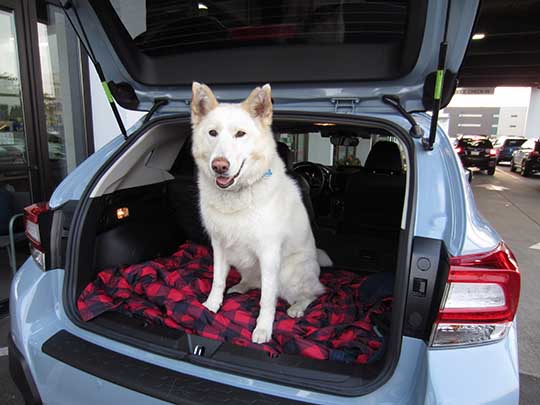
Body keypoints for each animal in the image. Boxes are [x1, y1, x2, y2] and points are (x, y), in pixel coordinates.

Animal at [190, 83, 326, 342]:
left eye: (240, 134)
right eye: (212, 133)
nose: (219, 166)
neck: (235, 195)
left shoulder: (269, 253)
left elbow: (267, 300)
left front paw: (263, 329)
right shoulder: (219, 245)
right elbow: (217, 280)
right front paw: (211, 306)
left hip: (288, 272)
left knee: (313, 293)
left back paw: (297, 307)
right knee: (253, 282)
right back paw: (240, 287)